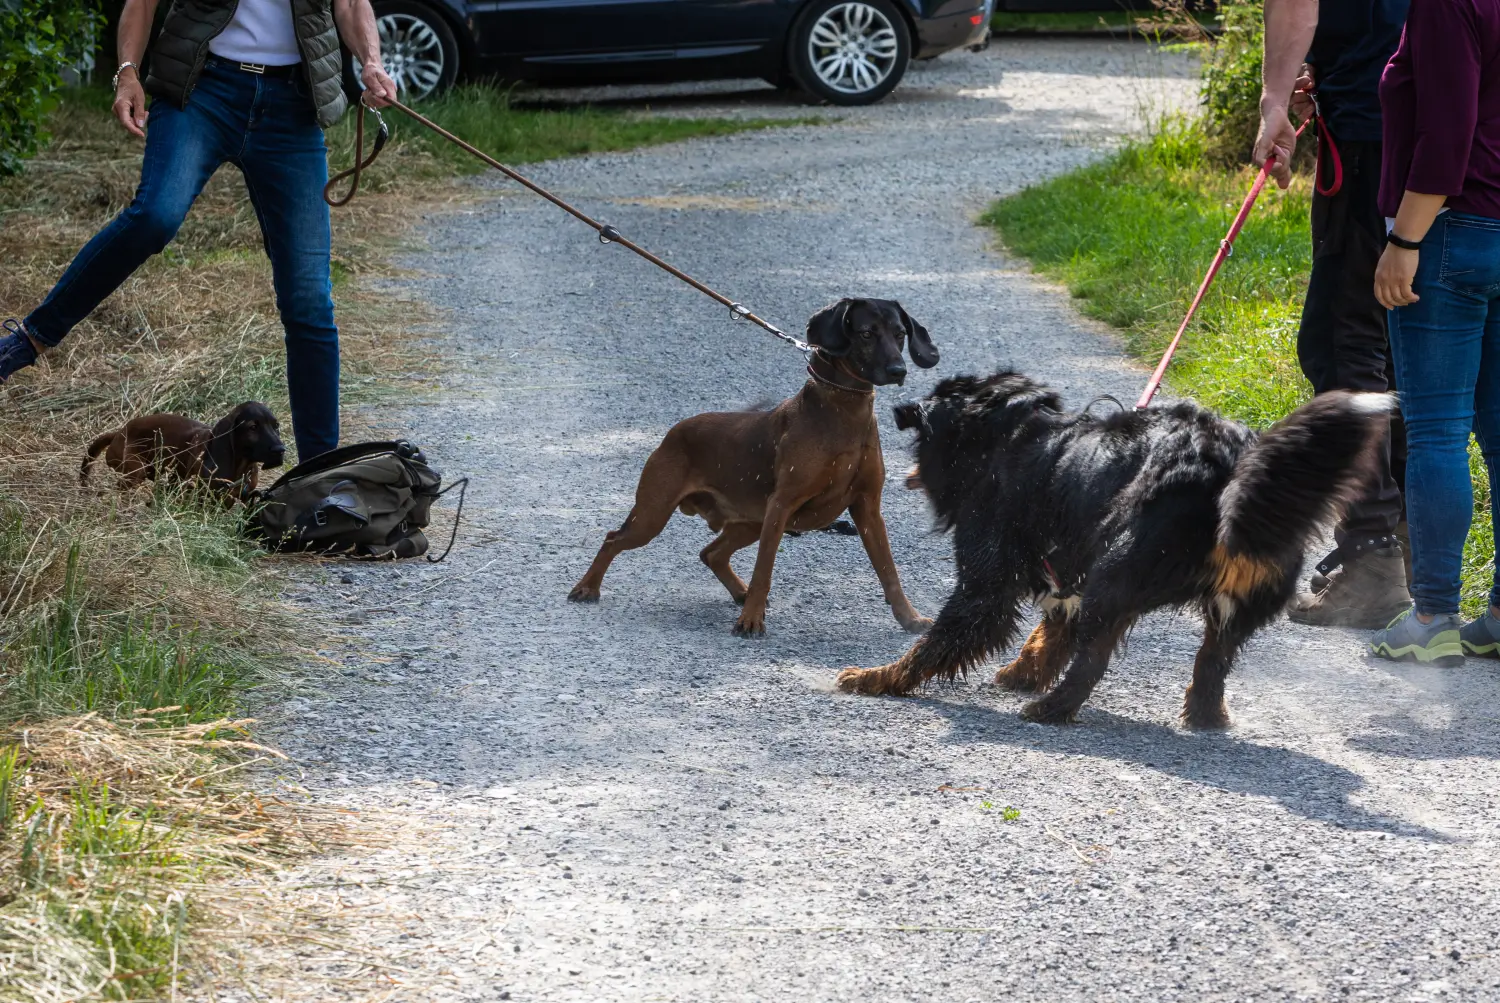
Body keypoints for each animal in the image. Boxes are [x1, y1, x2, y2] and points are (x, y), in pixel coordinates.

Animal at [79, 395, 285, 497]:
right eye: (252, 427)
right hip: (135, 469)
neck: (241, 465)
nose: (281, 450)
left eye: (276, 426)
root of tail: (118, 433)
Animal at [570, 296, 936, 638]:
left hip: (748, 522)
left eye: (900, 334)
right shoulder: (781, 505)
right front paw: (750, 621)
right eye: (866, 334)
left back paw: (739, 593)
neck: (843, 413)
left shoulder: (867, 508)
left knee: (712, 553)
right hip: (654, 514)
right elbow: (764, 570)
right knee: (613, 539)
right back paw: (587, 587)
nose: (899, 371)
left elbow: (889, 571)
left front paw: (910, 618)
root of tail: (676, 430)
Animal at [840, 370, 1386, 728]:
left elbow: (930, 647)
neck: (1007, 436)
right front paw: (1022, 672)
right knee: (1212, 663)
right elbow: (1048, 634)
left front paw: (876, 679)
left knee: (1092, 663)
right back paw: (1205, 716)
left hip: (1115, 577)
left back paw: (1050, 710)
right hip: (1231, 602)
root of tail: (1230, 465)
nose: (902, 410)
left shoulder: (986, 586)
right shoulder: (1066, 570)